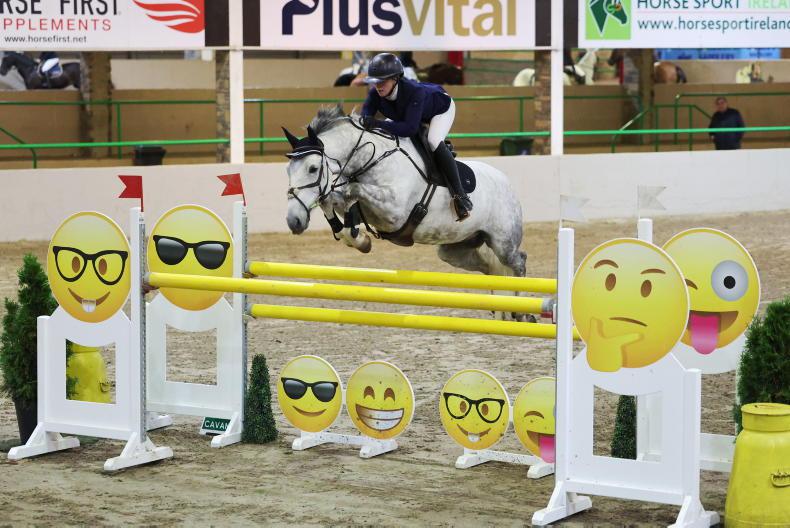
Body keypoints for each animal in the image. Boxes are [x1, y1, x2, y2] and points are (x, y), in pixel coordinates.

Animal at [282, 106, 527, 282]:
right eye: (288, 170)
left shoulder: (394, 211)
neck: (372, 158)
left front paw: (358, 234)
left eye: (313, 168)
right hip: (455, 248)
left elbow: (350, 191)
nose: (294, 221)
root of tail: (506, 183)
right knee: (490, 268)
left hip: (503, 242)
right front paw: (360, 239)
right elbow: (334, 203)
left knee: (518, 262)